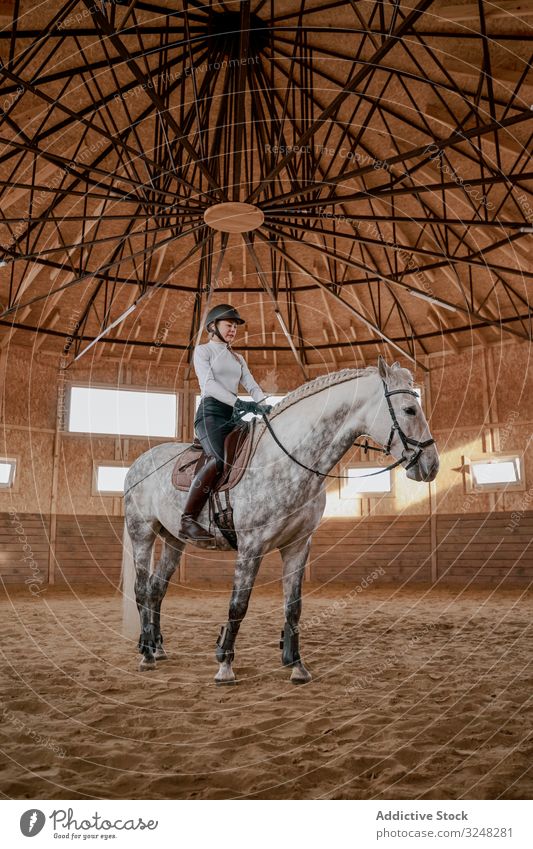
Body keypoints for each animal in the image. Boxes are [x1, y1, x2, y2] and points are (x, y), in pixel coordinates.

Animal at [122, 358, 438, 684]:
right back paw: (146, 654)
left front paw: (295, 664)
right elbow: (238, 604)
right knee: (142, 590)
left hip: (174, 540)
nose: (431, 465)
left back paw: (157, 647)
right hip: (142, 533)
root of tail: (138, 464)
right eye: (409, 410)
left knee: (157, 589)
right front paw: (225, 665)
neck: (288, 460)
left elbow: (293, 606)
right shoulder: (251, 547)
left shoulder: (298, 545)